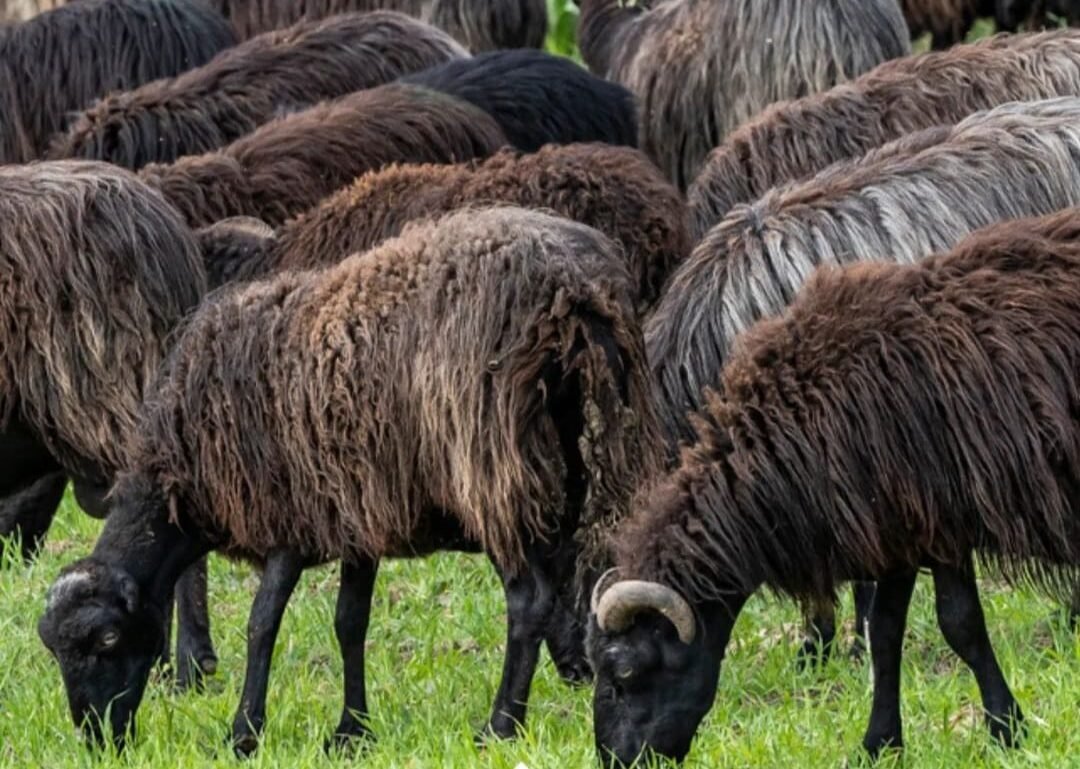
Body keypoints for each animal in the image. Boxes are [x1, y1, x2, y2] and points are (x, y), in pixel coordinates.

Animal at [37, 206, 659, 753]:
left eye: (107, 639)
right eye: (57, 655)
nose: (98, 738)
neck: (182, 474)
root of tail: (570, 292)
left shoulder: (291, 512)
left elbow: (262, 622)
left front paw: (244, 731)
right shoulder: (358, 514)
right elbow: (349, 623)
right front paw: (350, 731)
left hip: (488, 470)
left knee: (529, 599)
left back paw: (500, 725)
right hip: (584, 445)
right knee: (575, 567)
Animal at [587, 206, 1080, 766]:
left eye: (625, 672)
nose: (615, 759)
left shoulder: (942, 523)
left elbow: (961, 626)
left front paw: (1006, 728)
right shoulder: (899, 529)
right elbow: (884, 632)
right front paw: (879, 743)